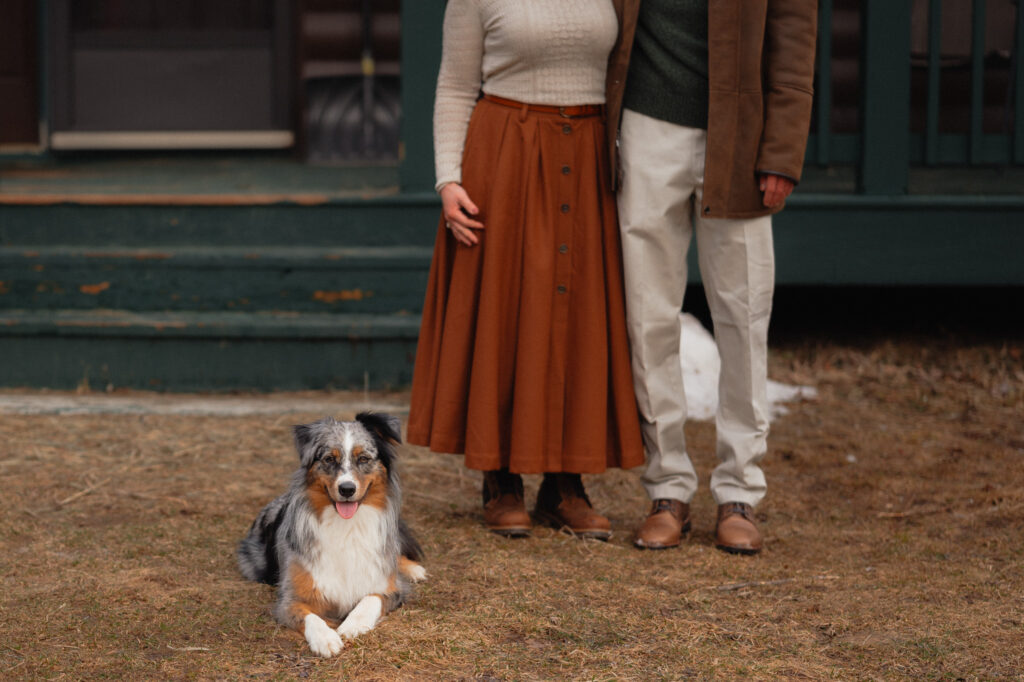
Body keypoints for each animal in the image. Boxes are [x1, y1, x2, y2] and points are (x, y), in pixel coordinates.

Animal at [237, 411, 425, 655]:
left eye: (363, 459)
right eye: (329, 459)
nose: (347, 489)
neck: (347, 527)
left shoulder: (391, 588)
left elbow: (369, 600)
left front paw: (353, 625)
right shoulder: (289, 599)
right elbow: (310, 617)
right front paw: (325, 639)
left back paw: (414, 569)